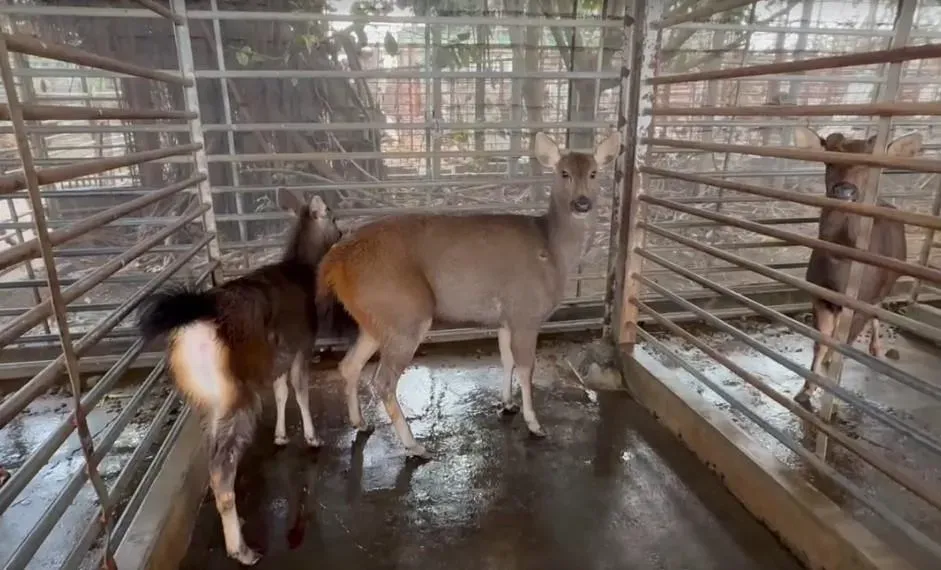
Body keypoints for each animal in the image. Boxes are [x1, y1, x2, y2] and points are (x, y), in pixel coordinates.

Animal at [137, 191, 341, 565]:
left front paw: (280, 436)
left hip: (208, 399)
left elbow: (280, 391)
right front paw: (312, 437)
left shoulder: (276, 358)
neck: (303, 272)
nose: (342, 231)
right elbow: (300, 390)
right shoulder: (303, 343)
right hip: (237, 395)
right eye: (332, 216)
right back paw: (242, 548)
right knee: (221, 467)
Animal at [316, 131, 620, 459]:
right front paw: (535, 423)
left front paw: (507, 403)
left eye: (594, 172)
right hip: (404, 310)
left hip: (374, 316)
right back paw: (414, 446)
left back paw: (361, 423)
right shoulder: (526, 310)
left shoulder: (506, 317)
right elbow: (527, 368)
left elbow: (507, 359)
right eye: (564, 173)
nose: (582, 202)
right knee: (383, 381)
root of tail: (337, 259)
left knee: (349, 365)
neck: (553, 253)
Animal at [791, 127, 921, 410]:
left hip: (884, 286)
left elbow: (841, 347)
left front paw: (829, 393)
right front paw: (806, 390)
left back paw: (877, 349)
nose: (845, 191)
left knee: (876, 312)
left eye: (870, 164)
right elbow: (820, 344)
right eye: (829, 160)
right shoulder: (819, 295)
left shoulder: (861, 301)